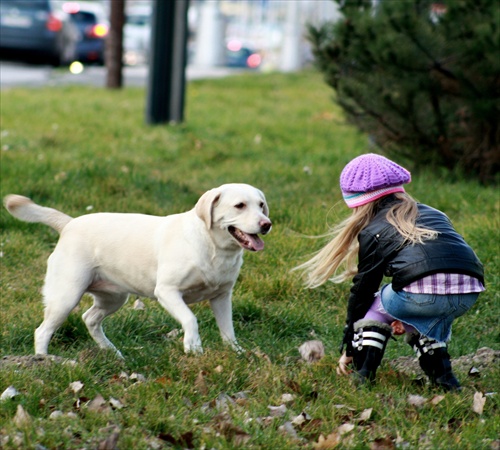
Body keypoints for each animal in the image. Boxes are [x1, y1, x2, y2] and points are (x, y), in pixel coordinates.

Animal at [3, 185, 272, 356]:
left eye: (261, 205)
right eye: (239, 205)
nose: (266, 224)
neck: (213, 247)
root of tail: (69, 223)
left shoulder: (222, 297)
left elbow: (228, 331)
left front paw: (237, 353)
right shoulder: (167, 292)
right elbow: (190, 319)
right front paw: (193, 347)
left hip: (113, 298)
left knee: (90, 319)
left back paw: (113, 353)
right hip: (65, 297)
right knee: (42, 331)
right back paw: (44, 360)